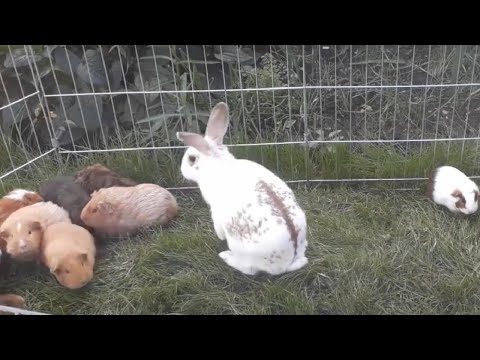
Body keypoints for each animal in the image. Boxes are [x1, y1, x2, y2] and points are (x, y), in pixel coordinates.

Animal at [176, 101, 308, 276]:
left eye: (191, 159)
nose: (181, 170)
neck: (216, 163)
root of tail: (287, 262)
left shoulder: (215, 212)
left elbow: (219, 229)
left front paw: (220, 238)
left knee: (248, 269)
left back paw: (225, 256)